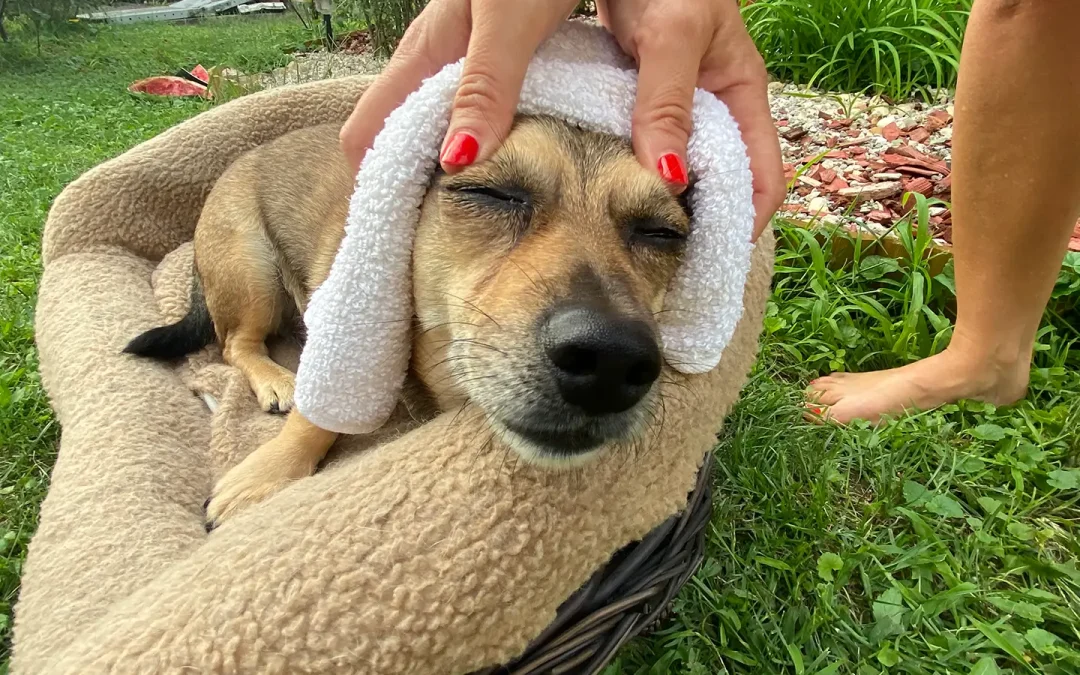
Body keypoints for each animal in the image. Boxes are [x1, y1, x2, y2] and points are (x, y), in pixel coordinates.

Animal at [124, 115, 682, 527]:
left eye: (662, 232)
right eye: (492, 194)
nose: (610, 361)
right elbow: (317, 416)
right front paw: (269, 473)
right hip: (249, 269)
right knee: (235, 344)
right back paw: (275, 379)